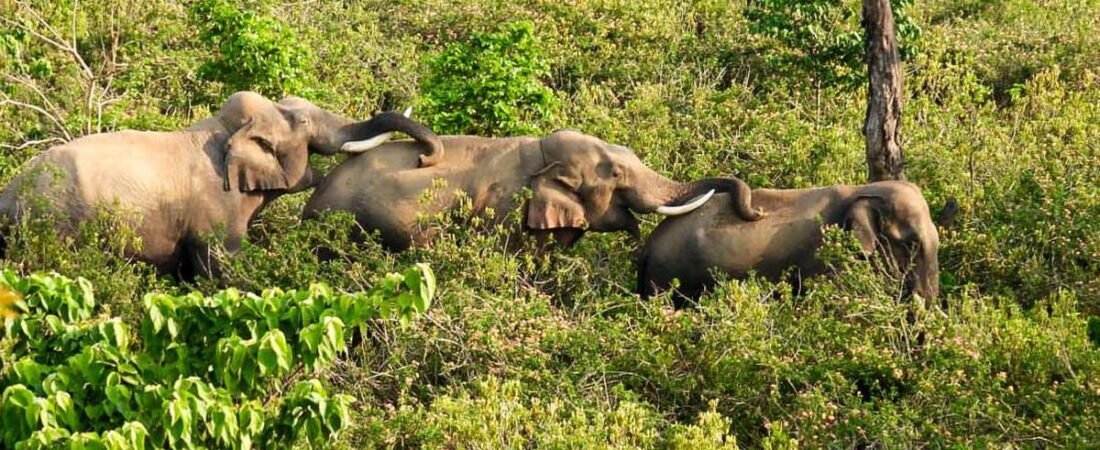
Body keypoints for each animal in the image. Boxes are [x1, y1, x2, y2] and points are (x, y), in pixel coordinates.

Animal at [0, 91, 443, 280]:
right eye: (302, 122)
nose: (424, 158)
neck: (218, 130)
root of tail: (8, 194)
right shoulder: (214, 209)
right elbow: (221, 269)